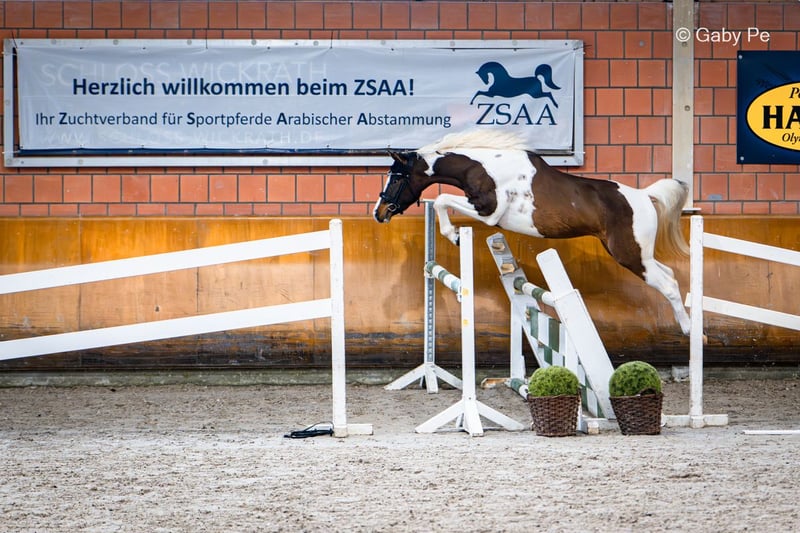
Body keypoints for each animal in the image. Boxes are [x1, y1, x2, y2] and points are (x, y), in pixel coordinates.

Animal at [373, 130, 693, 336]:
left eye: (396, 178)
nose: (379, 213)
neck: (484, 166)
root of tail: (645, 196)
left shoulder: (488, 211)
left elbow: (441, 199)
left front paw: (453, 235)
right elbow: (441, 200)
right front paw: (453, 234)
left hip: (630, 255)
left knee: (668, 284)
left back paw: (689, 331)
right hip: (639, 254)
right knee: (669, 274)